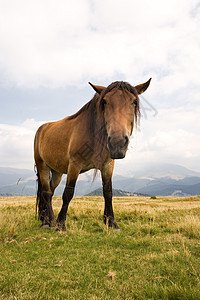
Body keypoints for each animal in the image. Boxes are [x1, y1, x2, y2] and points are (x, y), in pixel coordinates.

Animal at [34, 78, 151, 230]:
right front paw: (61, 225)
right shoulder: (74, 165)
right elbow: (68, 193)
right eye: (105, 102)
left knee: (50, 191)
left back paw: (47, 220)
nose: (117, 143)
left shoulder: (107, 165)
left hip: (56, 171)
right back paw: (50, 222)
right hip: (42, 165)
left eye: (134, 101)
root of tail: (42, 128)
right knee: (46, 193)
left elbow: (108, 192)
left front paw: (111, 222)